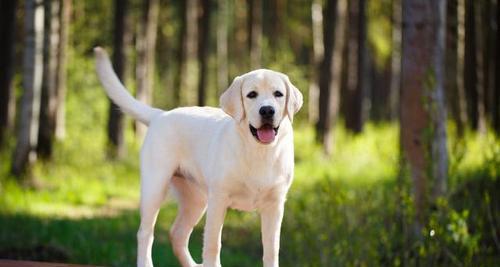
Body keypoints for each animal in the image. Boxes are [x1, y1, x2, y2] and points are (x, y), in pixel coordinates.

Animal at [95, 47, 302, 266]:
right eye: (251, 95)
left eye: (278, 94)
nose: (267, 110)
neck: (259, 151)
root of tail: (161, 114)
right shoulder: (218, 199)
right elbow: (213, 245)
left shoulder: (275, 205)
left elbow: (271, 250)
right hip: (155, 187)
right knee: (145, 232)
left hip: (196, 199)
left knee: (177, 233)